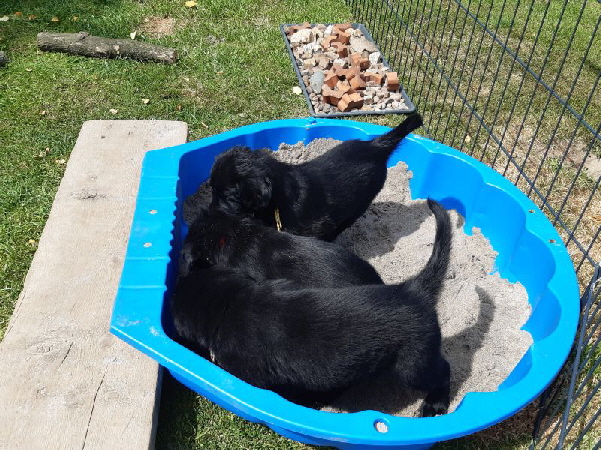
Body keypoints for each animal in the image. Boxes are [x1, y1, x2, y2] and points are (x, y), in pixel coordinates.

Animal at [207, 113, 423, 241]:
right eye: (211, 189)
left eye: (228, 198)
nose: (210, 212)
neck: (278, 199)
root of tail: (376, 145)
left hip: (362, 202)